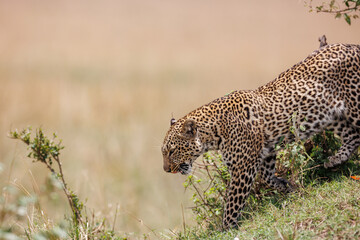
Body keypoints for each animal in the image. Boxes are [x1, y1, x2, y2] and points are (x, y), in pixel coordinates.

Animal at [161, 43, 360, 229]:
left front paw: (226, 228)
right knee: (352, 135)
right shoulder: (266, 152)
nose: (166, 170)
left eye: (171, 151)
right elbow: (266, 177)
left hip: (354, 107)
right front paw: (285, 185)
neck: (213, 133)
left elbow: (232, 202)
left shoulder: (242, 169)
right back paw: (334, 160)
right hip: (331, 116)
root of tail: (352, 46)